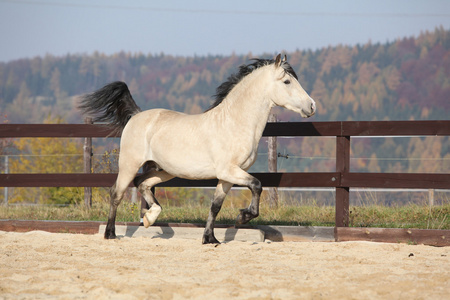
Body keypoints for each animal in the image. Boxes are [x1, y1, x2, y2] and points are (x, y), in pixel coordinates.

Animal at [79, 54, 316, 244]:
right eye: (287, 81)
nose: (312, 106)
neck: (234, 122)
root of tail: (137, 115)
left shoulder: (227, 177)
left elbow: (215, 206)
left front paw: (210, 239)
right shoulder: (230, 171)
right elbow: (257, 185)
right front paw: (243, 217)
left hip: (164, 170)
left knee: (142, 183)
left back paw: (149, 218)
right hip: (129, 164)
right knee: (117, 193)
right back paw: (110, 233)